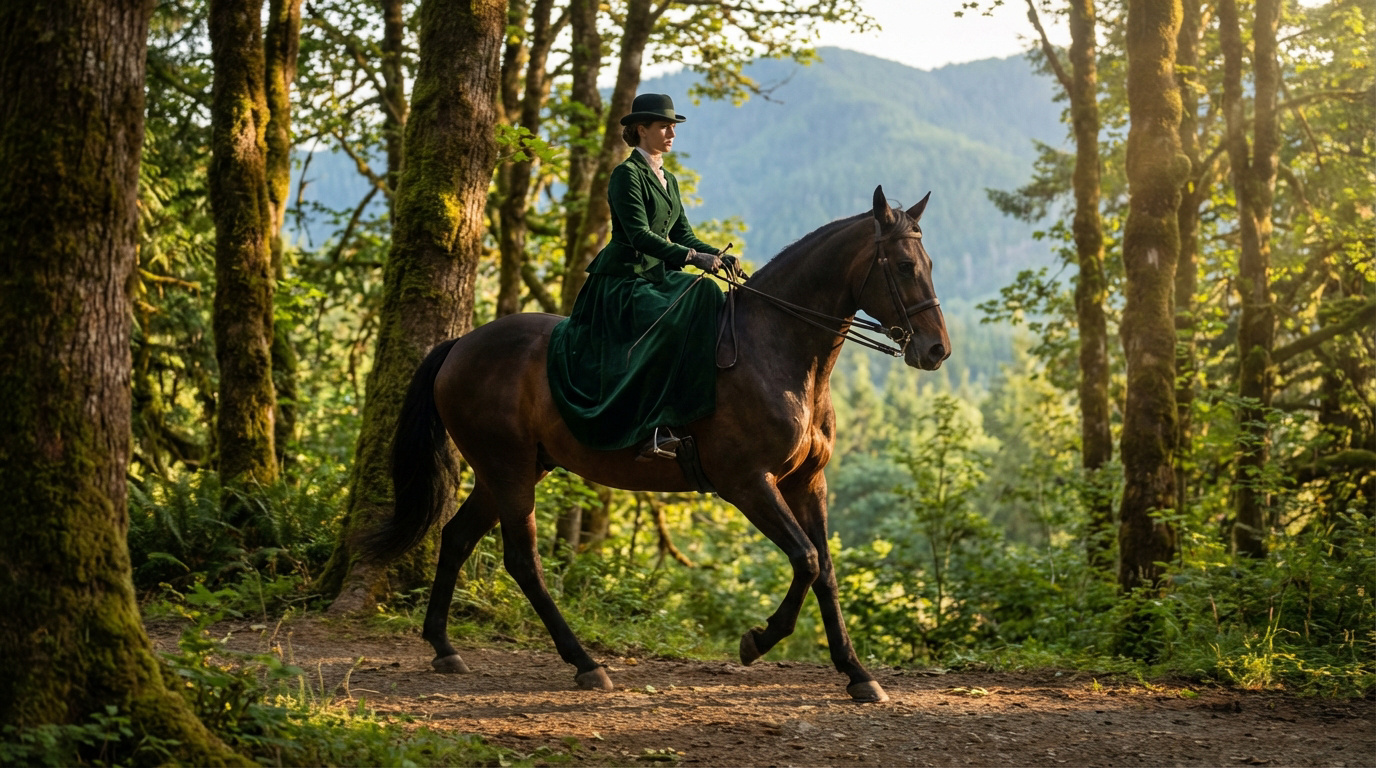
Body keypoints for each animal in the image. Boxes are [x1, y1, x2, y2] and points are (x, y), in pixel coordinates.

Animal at [368, 185, 951, 702]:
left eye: (929, 263)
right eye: (903, 266)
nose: (936, 350)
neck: (777, 350)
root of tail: (461, 345)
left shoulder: (808, 483)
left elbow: (825, 571)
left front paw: (857, 674)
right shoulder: (747, 483)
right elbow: (805, 559)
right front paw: (757, 641)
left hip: (511, 470)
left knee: (457, 537)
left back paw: (443, 646)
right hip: (507, 469)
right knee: (522, 560)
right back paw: (585, 663)